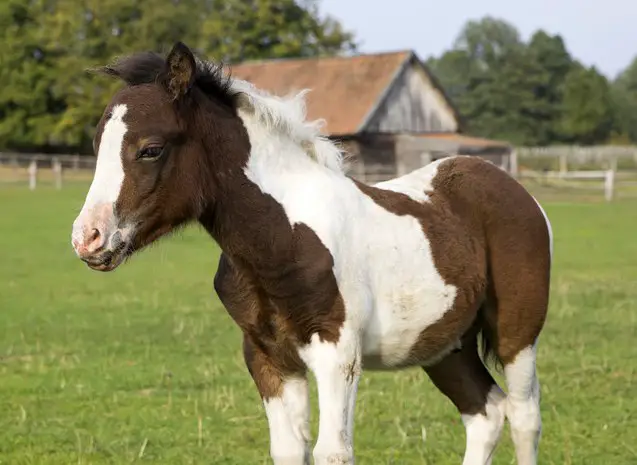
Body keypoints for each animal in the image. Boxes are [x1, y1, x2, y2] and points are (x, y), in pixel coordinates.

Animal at [72, 41, 552, 462]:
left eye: (150, 149)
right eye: (97, 147)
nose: (87, 238)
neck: (281, 238)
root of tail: (509, 184)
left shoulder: (338, 352)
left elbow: (332, 452)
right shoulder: (268, 357)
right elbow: (288, 449)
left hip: (517, 333)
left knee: (524, 416)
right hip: (445, 344)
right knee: (486, 414)